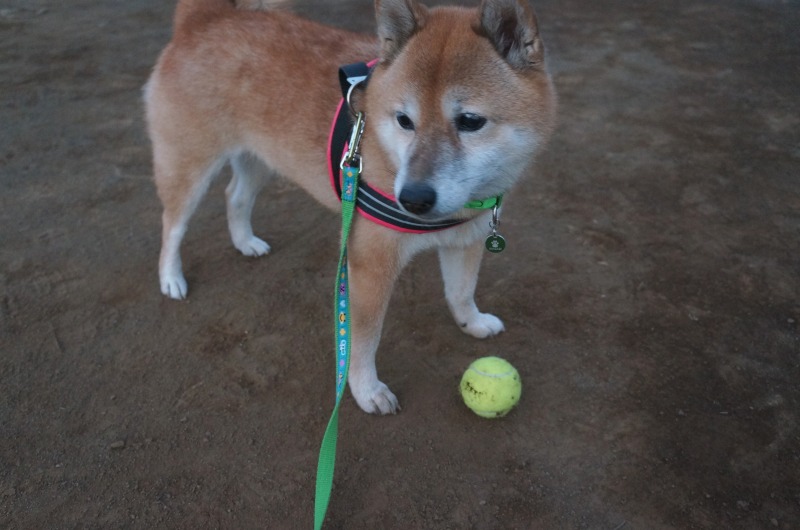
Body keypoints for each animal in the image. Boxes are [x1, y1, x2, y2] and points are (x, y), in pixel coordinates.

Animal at [144, 0, 556, 414]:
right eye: (404, 120)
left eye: (470, 121)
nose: (412, 198)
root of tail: (205, 20)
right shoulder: (370, 265)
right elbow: (363, 338)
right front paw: (364, 389)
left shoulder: (465, 238)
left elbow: (461, 292)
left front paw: (471, 322)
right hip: (189, 167)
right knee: (172, 224)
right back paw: (170, 278)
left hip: (261, 159)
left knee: (235, 196)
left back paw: (245, 242)